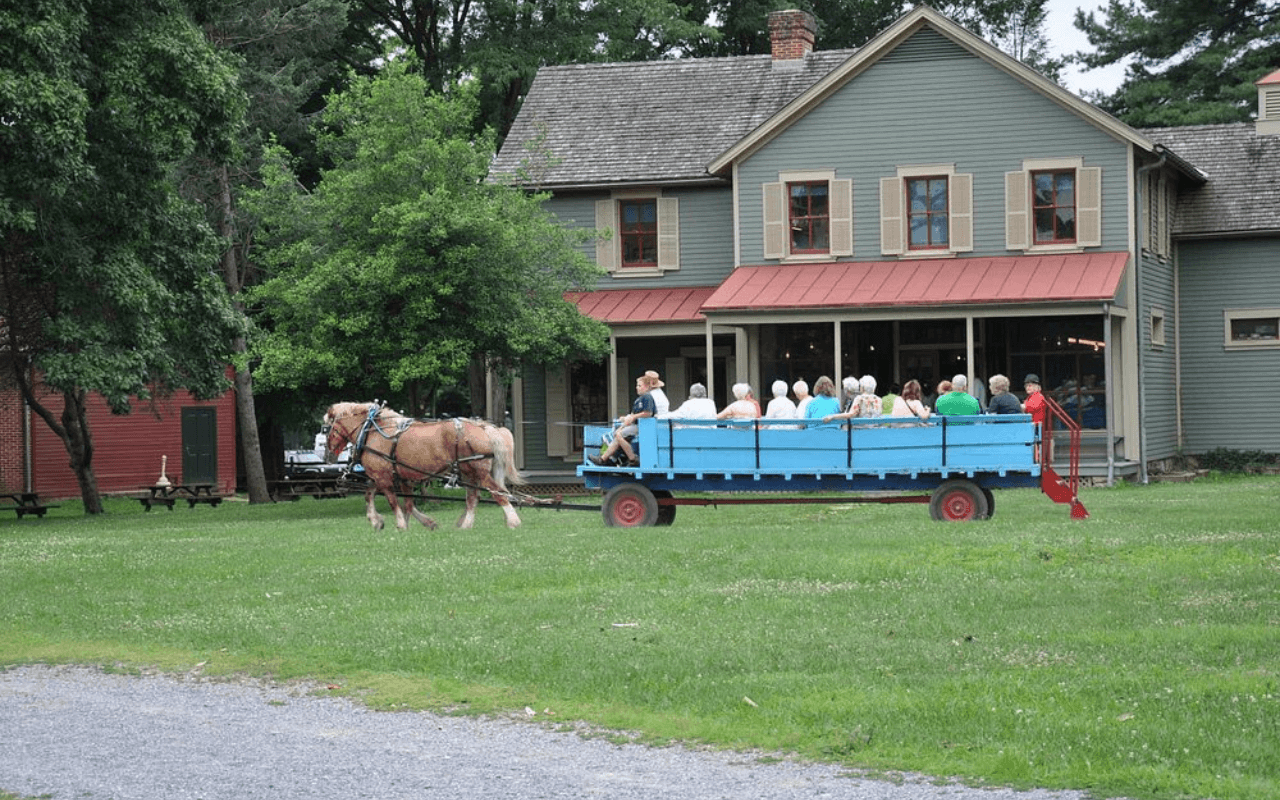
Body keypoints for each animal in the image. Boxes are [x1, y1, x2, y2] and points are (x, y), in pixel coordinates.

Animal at [322, 399, 522, 529]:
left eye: (328, 428)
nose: (328, 452)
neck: (371, 431)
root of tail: (483, 427)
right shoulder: (398, 477)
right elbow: (399, 502)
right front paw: (379, 521)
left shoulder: (383, 477)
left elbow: (393, 502)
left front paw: (400, 524)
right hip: (468, 473)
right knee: (473, 498)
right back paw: (466, 525)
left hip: (478, 472)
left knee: (498, 493)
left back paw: (513, 521)